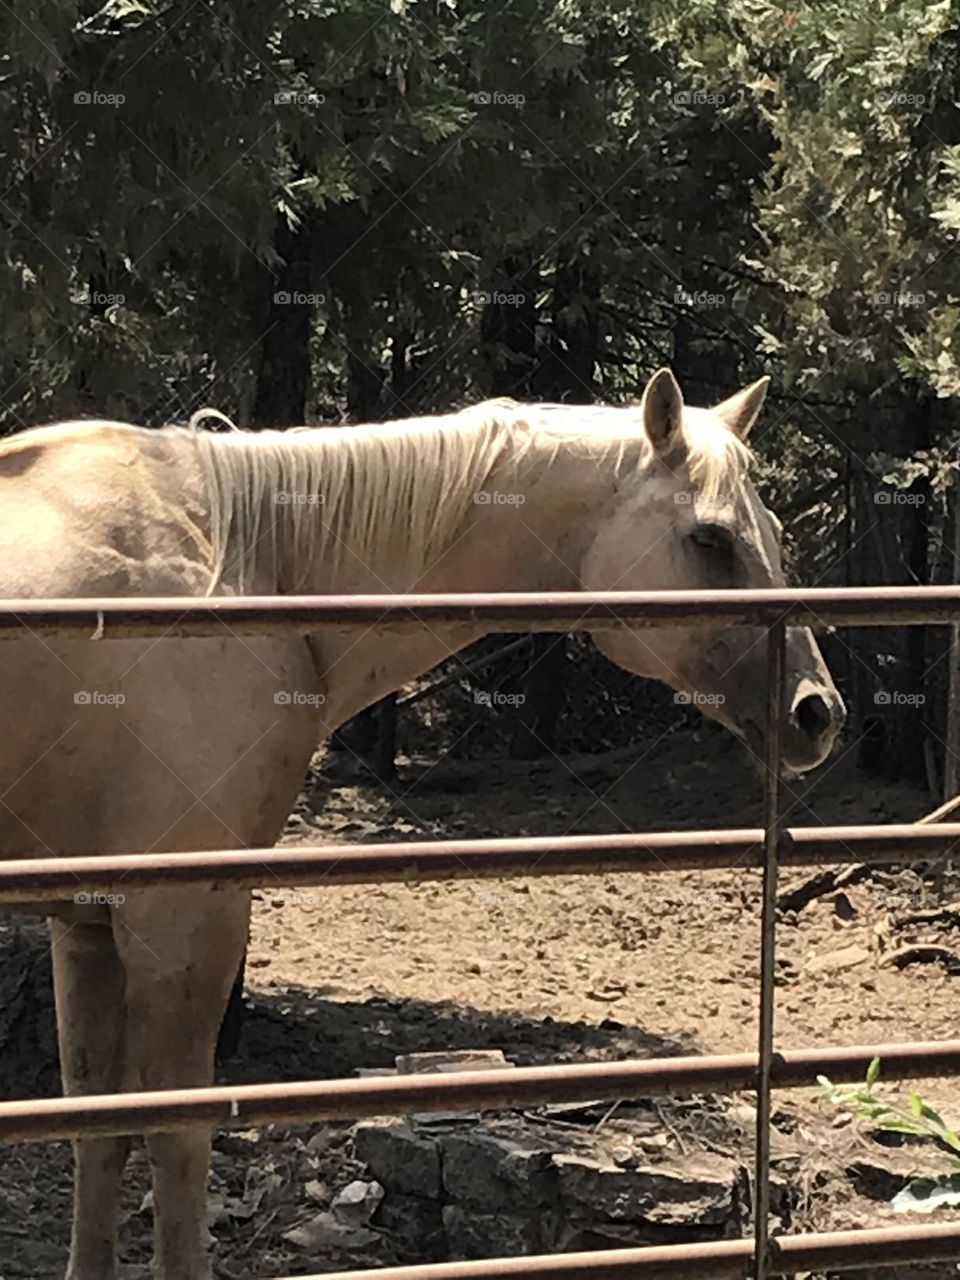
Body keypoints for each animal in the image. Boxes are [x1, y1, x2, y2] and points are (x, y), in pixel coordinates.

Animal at [0, 367, 844, 1279]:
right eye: (711, 538)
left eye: (774, 533)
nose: (815, 712)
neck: (244, 566)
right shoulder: (183, 919)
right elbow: (174, 1138)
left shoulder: (90, 921)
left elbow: (98, 1130)